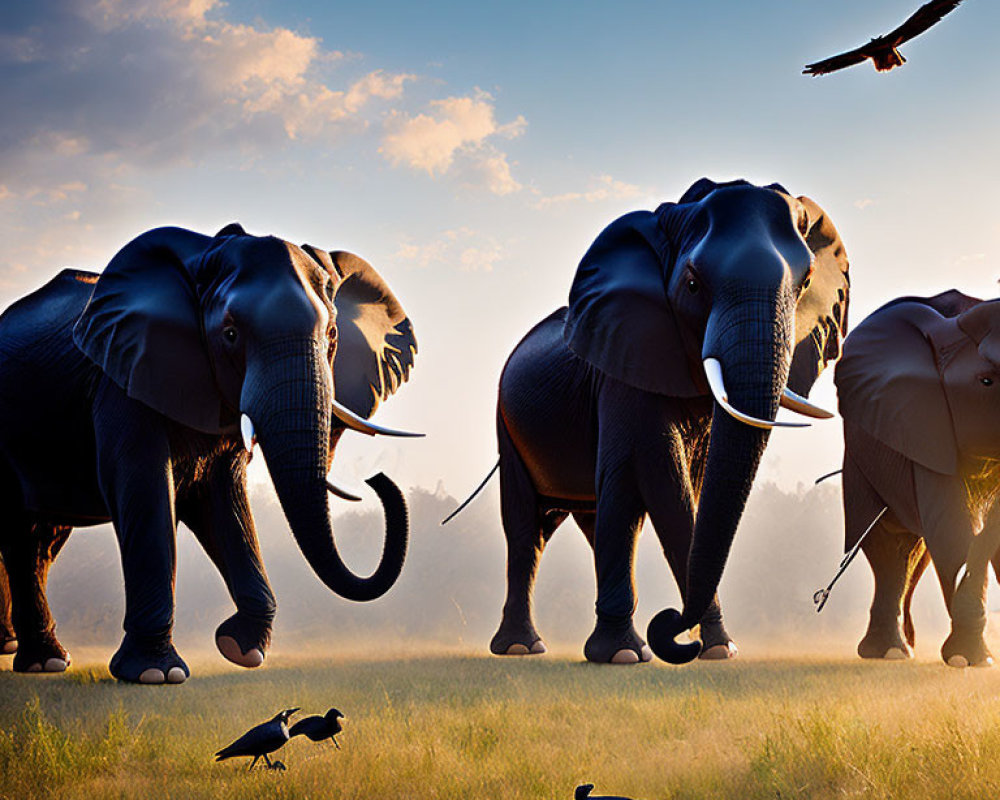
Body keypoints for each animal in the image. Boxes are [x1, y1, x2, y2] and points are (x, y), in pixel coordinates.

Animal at [0, 223, 418, 680]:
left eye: (332, 338)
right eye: (230, 335)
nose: (377, 481)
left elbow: (222, 498)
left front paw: (240, 648)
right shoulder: (120, 377)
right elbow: (143, 485)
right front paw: (156, 674)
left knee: (42, 539)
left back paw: (41, 657)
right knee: (20, 531)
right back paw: (42, 660)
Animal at [488, 178, 848, 664]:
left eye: (806, 282)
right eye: (692, 284)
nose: (674, 627)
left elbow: (690, 489)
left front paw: (718, 649)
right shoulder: (624, 363)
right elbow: (661, 475)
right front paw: (624, 655)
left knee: (588, 518)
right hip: (506, 422)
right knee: (529, 528)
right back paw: (523, 648)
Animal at [832, 290, 1000, 664]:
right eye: (986, 382)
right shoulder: (923, 420)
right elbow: (953, 529)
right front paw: (970, 659)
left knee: (913, 550)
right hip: (861, 451)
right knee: (889, 543)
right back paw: (891, 652)